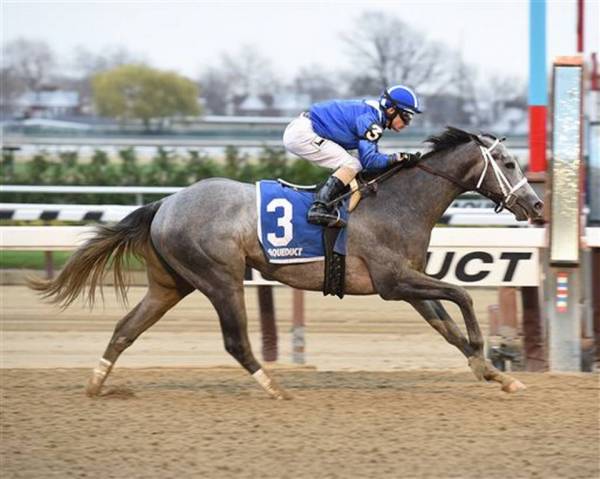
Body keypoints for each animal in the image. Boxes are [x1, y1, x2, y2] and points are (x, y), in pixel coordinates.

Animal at [29, 125, 544, 400]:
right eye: (508, 163)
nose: (537, 206)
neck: (399, 202)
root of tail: (166, 203)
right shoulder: (394, 281)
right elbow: (462, 296)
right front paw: (486, 353)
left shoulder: (407, 285)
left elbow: (447, 325)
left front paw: (496, 374)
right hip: (220, 278)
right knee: (235, 341)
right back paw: (275, 387)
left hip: (170, 284)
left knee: (126, 328)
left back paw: (96, 384)